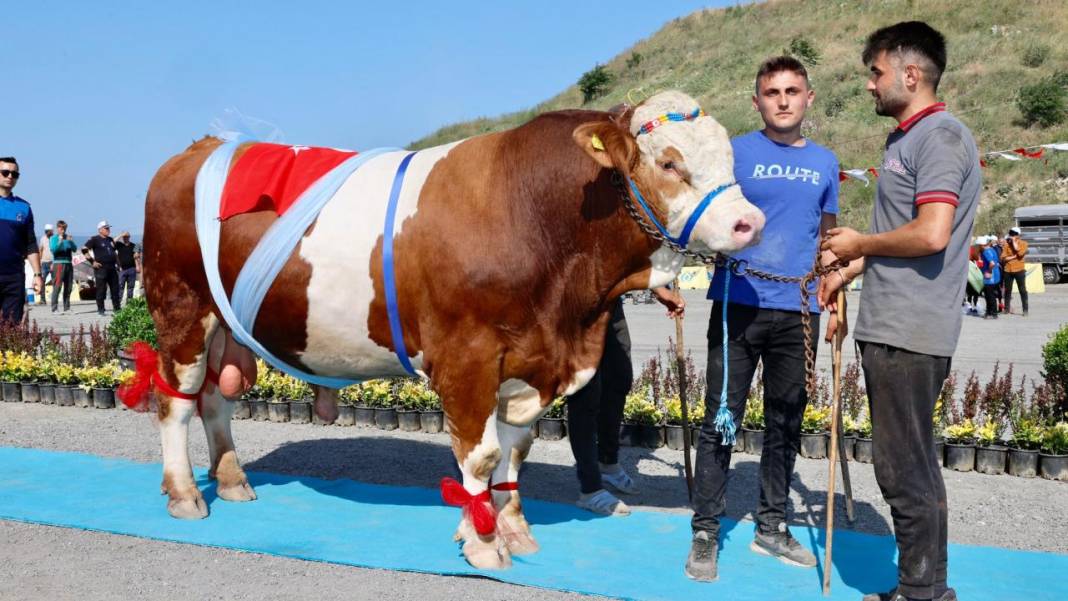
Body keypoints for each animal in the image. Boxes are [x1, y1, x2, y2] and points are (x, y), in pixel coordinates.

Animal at [137, 89, 764, 567]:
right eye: (669, 163)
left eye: (730, 159)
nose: (749, 221)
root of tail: (200, 148)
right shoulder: (467, 358)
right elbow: (479, 456)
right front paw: (484, 544)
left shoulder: (529, 363)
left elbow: (515, 452)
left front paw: (511, 528)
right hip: (182, 310)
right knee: (176, 402)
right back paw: (186, 493)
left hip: (225, 326)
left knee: (215, 400)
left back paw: (232, 481)